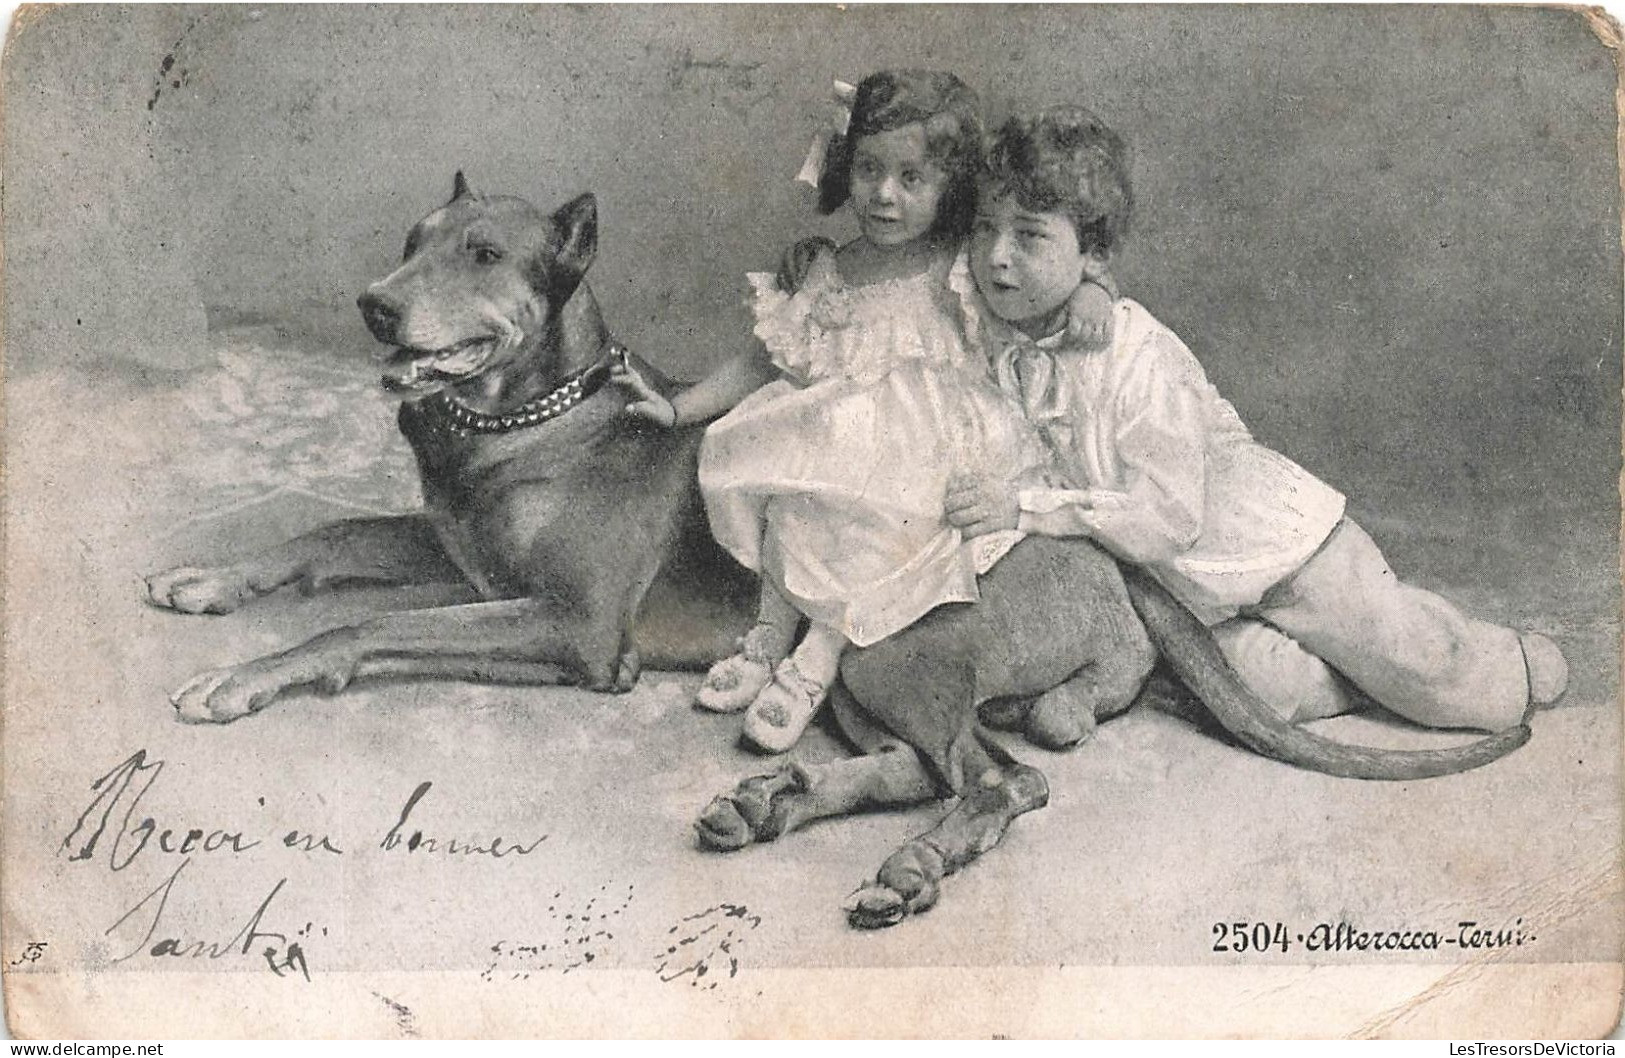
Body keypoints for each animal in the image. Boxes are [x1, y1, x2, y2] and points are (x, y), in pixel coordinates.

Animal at [146, 177, 1527, 929]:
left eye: (483, 254)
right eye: (411, 237)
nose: (375, 306)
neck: (529, 411)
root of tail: (1083, 536)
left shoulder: (568, 629)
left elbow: (361, 621)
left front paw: (239, 675)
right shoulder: (465, 563)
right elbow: (328, 535)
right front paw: (202, 579)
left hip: (892, 650)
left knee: (1000, 783)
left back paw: (899, 867)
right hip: (878, 679)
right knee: (935, 767)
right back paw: (774, 799)